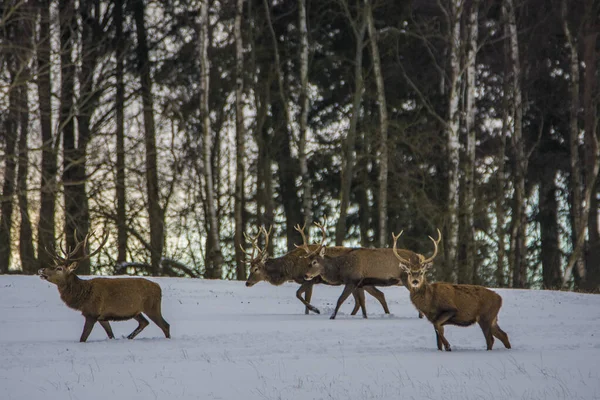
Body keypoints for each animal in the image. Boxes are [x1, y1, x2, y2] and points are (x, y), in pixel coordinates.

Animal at [37, 233, 170, 342]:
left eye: (59, 268)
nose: (41, 270)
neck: (82, 296)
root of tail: (159, 288)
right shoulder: (102, 317)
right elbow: (111, 335)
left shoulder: (92, 313)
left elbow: (83, 338)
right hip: (136, 311)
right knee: (144, 322)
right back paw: (128, 337)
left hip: (152, 307)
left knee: (165, 325)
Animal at [243, 225, 390, 316]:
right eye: (249, 268)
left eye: (256, 269)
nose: (247, 283)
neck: (290, 269)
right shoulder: (310, 281)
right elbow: (304, 297)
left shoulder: (310, 279)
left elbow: (298, 294)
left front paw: (315, 310)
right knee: (377, 295)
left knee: (368, 298)